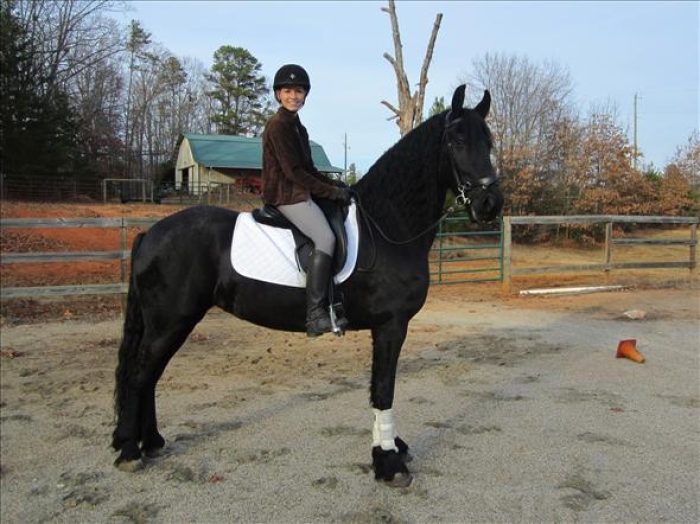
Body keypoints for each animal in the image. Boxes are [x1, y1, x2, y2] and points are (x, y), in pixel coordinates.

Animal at [112, 84, 504, 487]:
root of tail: (150, 234)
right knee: (141, 375)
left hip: (171, 322)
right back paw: (129, 450)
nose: (490, 203)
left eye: (488, 142)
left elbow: (379, 388)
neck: (387, 226)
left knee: (149, 375)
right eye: (457, 141)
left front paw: (391, 448)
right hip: (170, 321)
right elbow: (383, 390)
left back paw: (151, 442)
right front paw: (388, 462)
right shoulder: (391, 325)